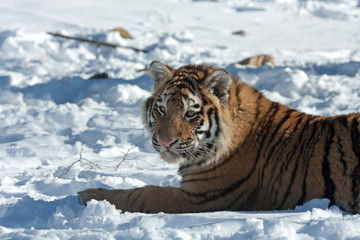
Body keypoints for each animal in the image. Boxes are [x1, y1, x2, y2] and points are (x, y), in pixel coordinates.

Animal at [78, 61, 360, 213]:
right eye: (161, 110)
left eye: (190, 113)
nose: (166, 142)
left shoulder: (201, 197)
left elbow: (141, 195)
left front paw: (89, 195)